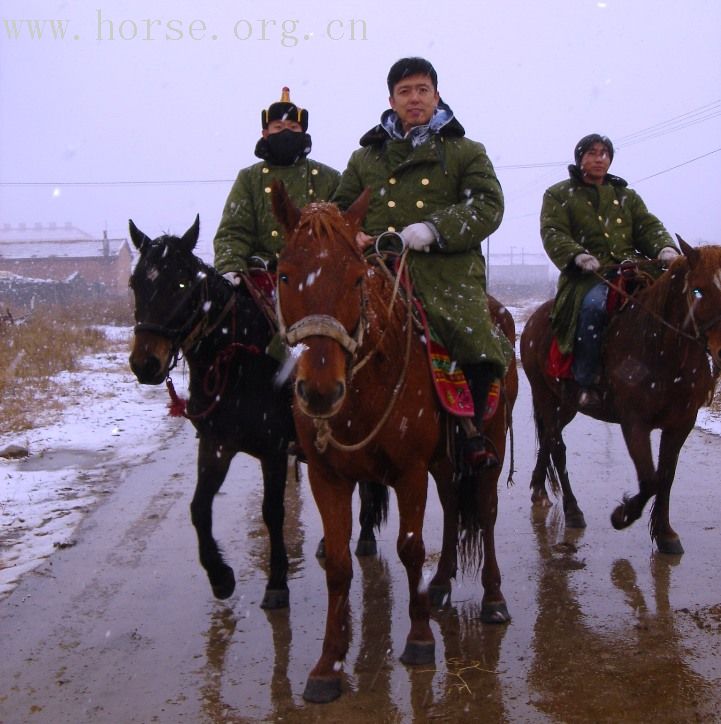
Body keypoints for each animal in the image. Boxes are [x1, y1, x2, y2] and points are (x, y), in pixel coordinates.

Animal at [272, 184, 516, 704]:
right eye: (284, 275)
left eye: (356, 280)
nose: (319, 391)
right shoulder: (327, 476)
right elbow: (339, 563)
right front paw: (329, 664)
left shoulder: (408, 472)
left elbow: (409, 547)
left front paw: (420, 639)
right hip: (444, 462)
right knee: (453, 508)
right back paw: (441, 585)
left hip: (491, 445)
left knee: (484, 513)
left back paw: (493, 599)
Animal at [520, 242, 720, 556]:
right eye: (697, 291)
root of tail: (535, 319)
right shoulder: (634, 423)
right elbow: (650, 480)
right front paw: (622, 515)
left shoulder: (681, 424)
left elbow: (666, 477)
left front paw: (665, 534)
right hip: (543, 395)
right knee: (557, 446)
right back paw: (573, 510)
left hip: (567, 404)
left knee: (550, 442)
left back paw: (539, 490)